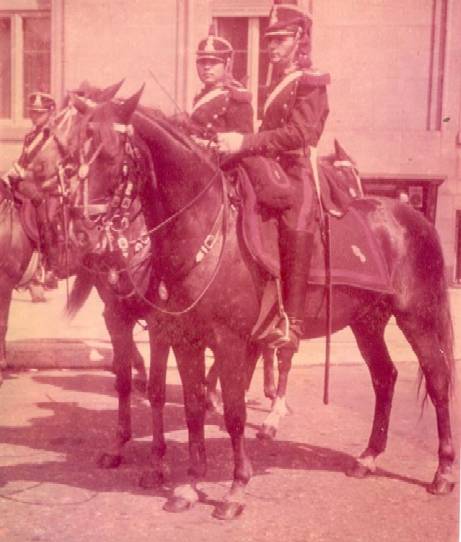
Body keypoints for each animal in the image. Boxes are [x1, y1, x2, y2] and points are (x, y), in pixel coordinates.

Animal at [68, 90, 455, 520]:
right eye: (71, 152)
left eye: (109, 154)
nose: (82, 233)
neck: (205, 228)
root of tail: (414, 216)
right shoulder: (184, 337)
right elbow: (192, 407)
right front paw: (190, 484)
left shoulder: (229, 341)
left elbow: (234, 414)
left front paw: (235, 489)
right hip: (367, 322)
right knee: (384, 377)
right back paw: (368, 456)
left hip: (417, 317)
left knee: (438, 380)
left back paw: (442, 472)